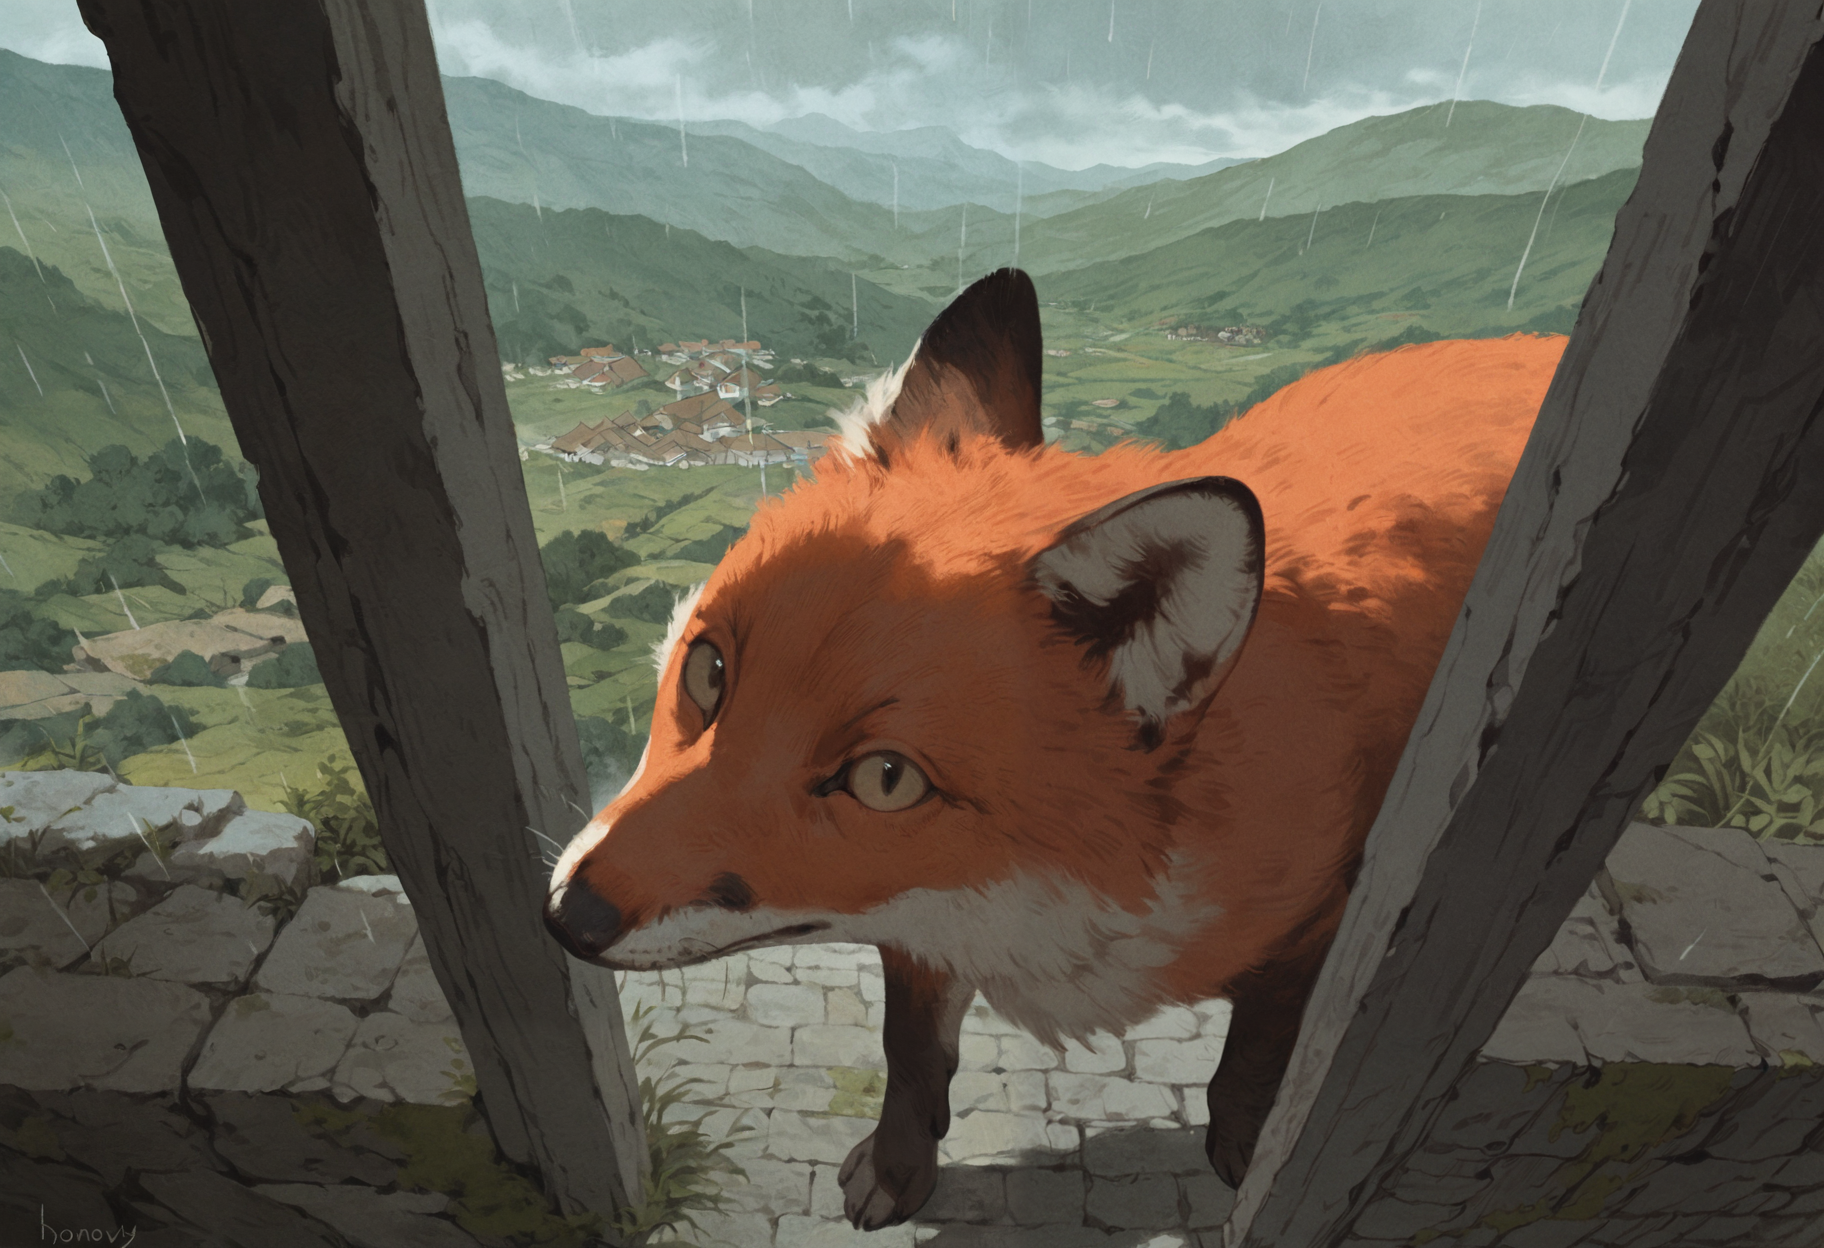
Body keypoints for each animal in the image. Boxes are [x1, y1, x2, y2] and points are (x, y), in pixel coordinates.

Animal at [545, 268, 1561, 1229]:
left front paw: (1246, 1160)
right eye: (710, 671)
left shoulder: (1318, 921)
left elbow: (1249, 1064)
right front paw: (901, 1171)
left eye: (885, 779)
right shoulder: (918, 919)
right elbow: (911, 1058)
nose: (566, 917)